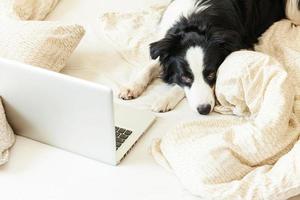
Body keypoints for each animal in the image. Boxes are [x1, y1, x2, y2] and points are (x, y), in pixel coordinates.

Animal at [119, 0, 300, 115]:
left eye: (212, 74)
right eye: (185, 76)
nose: (204, 110)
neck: (195, 21)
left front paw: (164, 100)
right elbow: (151, 65)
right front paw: (131, 87)